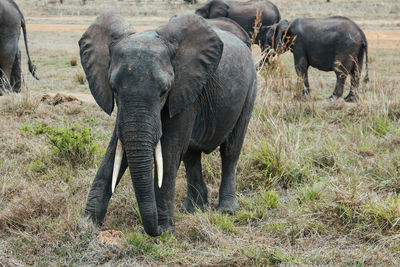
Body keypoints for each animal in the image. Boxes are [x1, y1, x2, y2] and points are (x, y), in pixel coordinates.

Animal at [79, 12, 258, 237]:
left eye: (164, 91)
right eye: (114, 89)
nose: (154, 229)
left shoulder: (184, 88)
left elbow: (169, 150)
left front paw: (164, 230)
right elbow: (117, 149)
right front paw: (88, 225)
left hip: (250, 89)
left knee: (231, 150)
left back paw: (226, 210)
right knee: (191, 156)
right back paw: (193, 210)